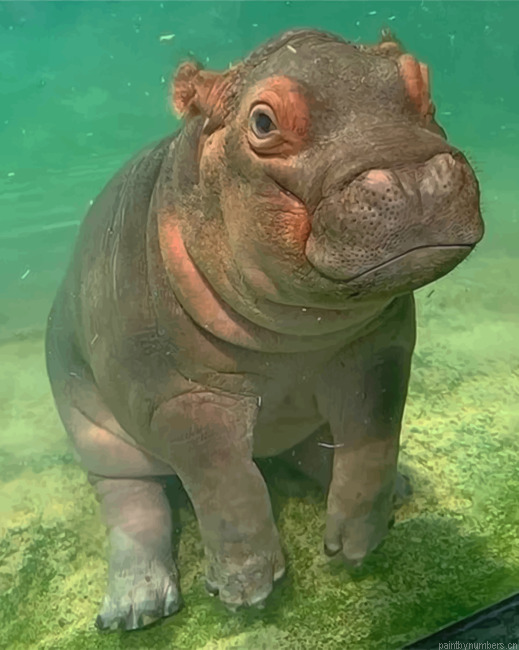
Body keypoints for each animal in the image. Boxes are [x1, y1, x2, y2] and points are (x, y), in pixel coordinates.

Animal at [45, 28, 484, 631]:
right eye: (262, 122)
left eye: (421, 80)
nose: (411, 176)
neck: (295, 337)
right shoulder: (177, 400)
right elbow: (226, 482)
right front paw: (247, 592)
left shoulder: (379, 354)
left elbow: (371, 444)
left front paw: (355, 546)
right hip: (95, 431)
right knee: (134, 504)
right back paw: (136, 607)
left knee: (316, 450)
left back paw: (398, 489)